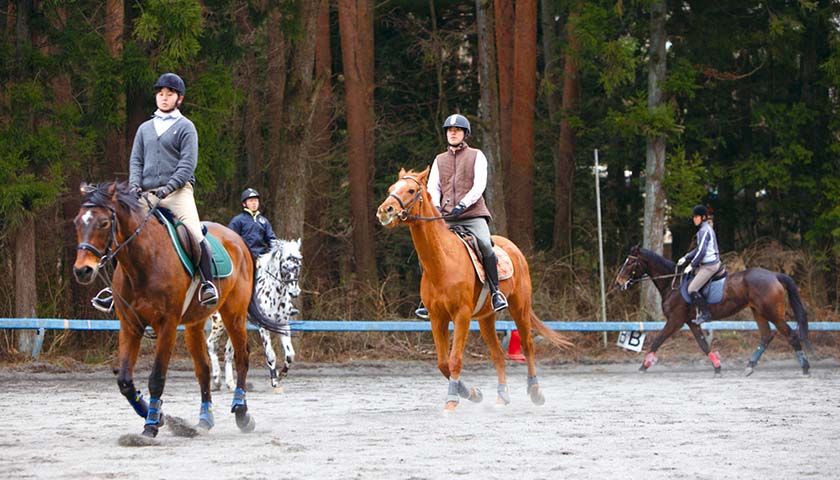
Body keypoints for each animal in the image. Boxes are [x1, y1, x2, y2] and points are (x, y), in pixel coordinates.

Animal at [70, 181, 286, 438]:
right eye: (77, 222)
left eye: (103, 223)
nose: (82, 270)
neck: (143, 263)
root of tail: (239, 240)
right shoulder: (130, 326)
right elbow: (124, 381)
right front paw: (156, 415)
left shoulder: (167, 325)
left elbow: (157, 377)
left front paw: (151, 424)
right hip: (195, 323)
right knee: (203, 368)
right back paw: (204, 420)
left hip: (233, 313)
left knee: (242, 357)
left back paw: (242, 414)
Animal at [207, 238, 302, 392]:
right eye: (285, 266)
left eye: (298, 265)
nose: (294, 292)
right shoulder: (263, 327)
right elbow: (270, 355)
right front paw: (274, 381)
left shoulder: (283, 324)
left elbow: (290, 354)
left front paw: (281, 375)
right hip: (219, 322)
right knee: (210, 344)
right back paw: (216, 379)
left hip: (236, 324)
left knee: (228, 351)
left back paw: (231, 384)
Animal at [378, 167, 576, 410]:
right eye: (391, 189)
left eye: (411, 190)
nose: (384, 211)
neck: (443, 261)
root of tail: (513, 248)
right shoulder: (437, 318)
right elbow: (443, 363)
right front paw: (472, 393)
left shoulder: (461, 316)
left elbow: (455, 360)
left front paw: (452, 400)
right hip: (486, 318)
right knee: (498, 354)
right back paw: (502, 396)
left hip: (520, 306)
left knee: (528, 345)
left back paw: (535, 392)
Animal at [612, 246, 812, 376]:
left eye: (630, 263)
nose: (618, 282)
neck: (672, 283)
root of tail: (774, 275)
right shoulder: (690, 322)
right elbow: (703, 345)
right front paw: (717, 367)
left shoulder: (675, 320)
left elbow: (658, 340)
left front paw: (644, 365)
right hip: (759, 312)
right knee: (766, 336)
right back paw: (750, 366)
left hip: (772, 313)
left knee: (791, 335)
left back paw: (805, 367)